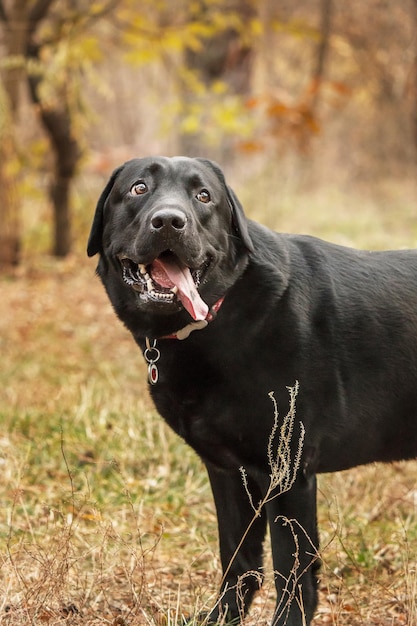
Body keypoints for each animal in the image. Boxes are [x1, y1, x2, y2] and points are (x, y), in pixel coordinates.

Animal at [86, 156, 416, 624]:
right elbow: (238, 558)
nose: (169, 221)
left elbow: (292, 570)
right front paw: (222, 617)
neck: (215, 319)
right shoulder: (228, 471)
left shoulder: (288, 472)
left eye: (204, 196)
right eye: (138, 188)